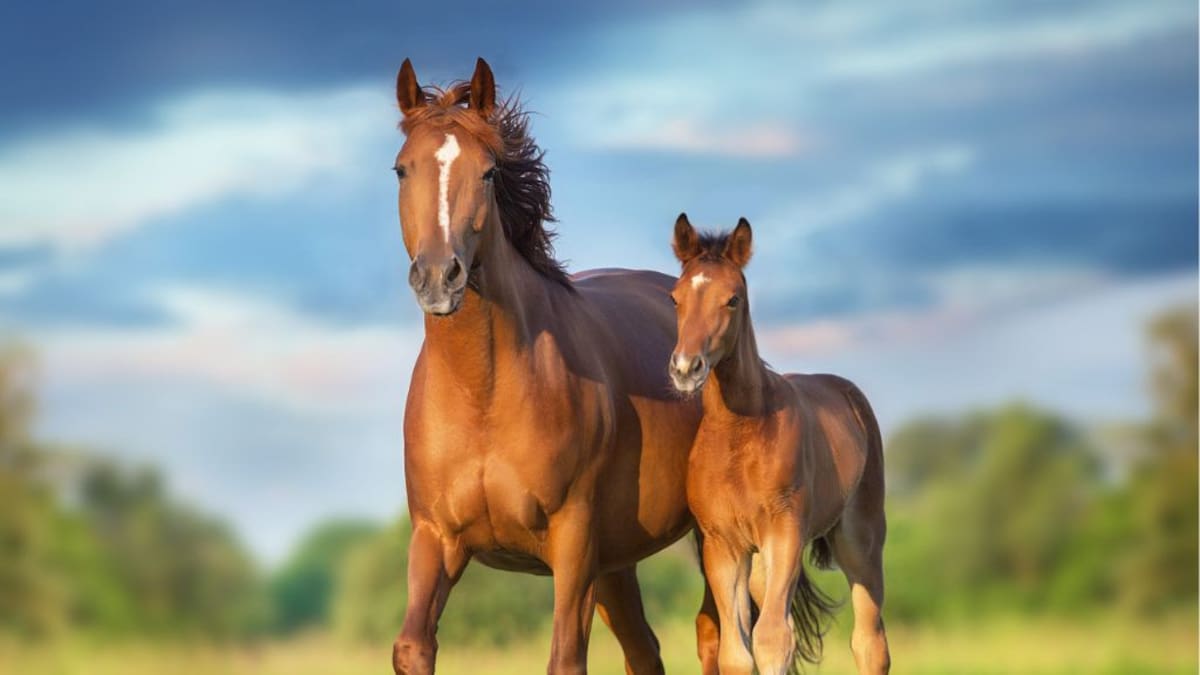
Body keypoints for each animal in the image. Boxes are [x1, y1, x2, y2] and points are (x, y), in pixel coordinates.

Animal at [390, 58, 722, 675]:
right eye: (402, 170)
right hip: (617, 563)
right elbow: (413, 647)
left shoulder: (574, 541)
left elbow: (565, 656)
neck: (483, 393)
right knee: (645, 650)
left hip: (712, 540)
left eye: (488, 172)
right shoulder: (435, 538)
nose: (439, 277)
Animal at [666, 214, 891, 675]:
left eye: (733, 299)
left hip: (859, 539)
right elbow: (738, 653)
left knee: (869, 642)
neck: (738, 434)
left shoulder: (784, 533)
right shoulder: (723, 546)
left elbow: (772, 640)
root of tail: (848, 392)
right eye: (675, 297)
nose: (685, 368)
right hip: (760, 567)